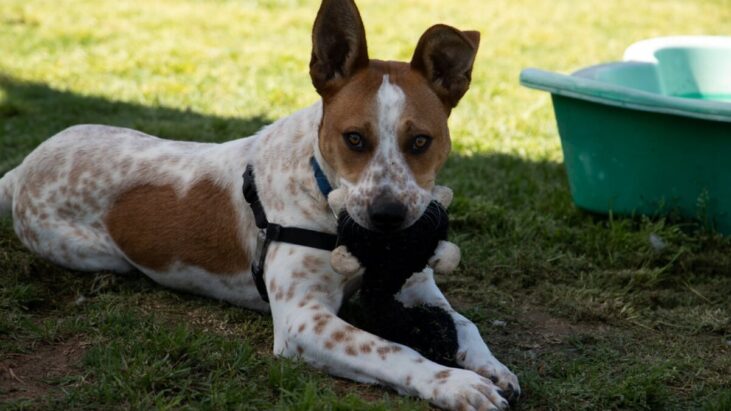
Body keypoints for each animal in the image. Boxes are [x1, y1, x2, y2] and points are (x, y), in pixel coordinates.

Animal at [0, 1, 520, 410]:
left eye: (421, 142)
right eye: (354, 138)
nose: (388, 219)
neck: (324, 199)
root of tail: (22, 167)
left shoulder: (417, 285)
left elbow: (465, 323)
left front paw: (490, 366)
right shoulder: (303, 321)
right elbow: (392, 350)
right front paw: (454, 383)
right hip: (83, 250)